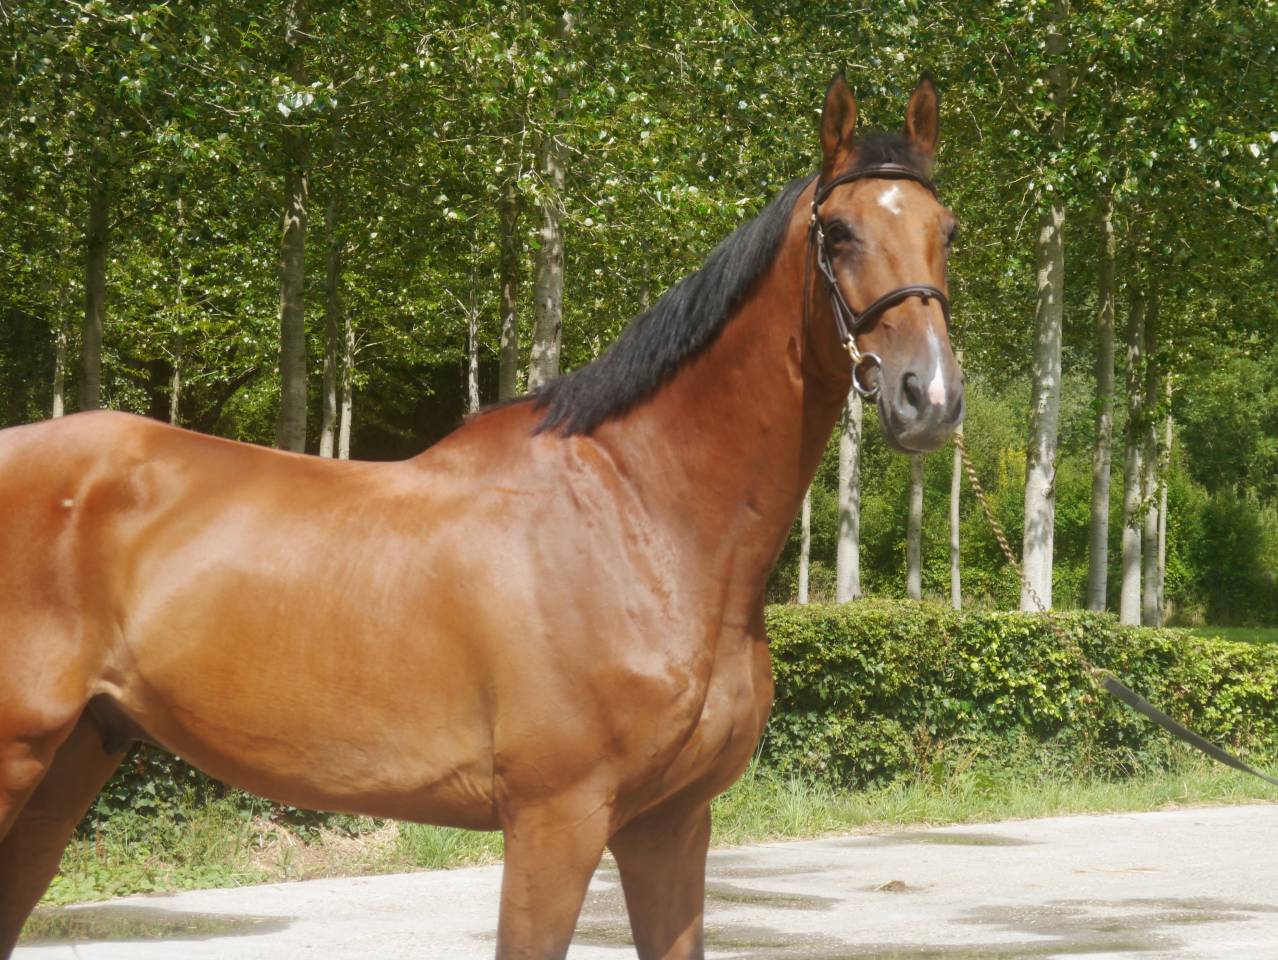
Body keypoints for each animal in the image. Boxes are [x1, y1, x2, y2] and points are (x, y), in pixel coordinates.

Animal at [0, 74, 962, 959]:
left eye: (946, 231)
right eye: (837, 233)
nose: (931, 398)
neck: (641, 515)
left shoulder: (672, 825)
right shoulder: (555, 821)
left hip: (74, 761)